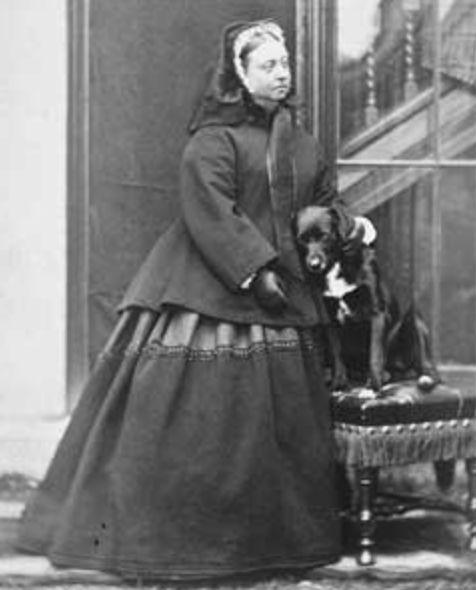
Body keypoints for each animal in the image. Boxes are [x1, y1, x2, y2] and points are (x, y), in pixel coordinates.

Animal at [294, 205, 440, 392]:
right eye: (302, 239)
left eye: (324, 236)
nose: (314, 265)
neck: (337, 265)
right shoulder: (330, 320)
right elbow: (336, 354)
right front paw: (339, 382)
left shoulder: (377, 313)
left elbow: (375, 352)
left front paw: (374, 384)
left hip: (414, 321)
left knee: (427, 366)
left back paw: (423, 378)